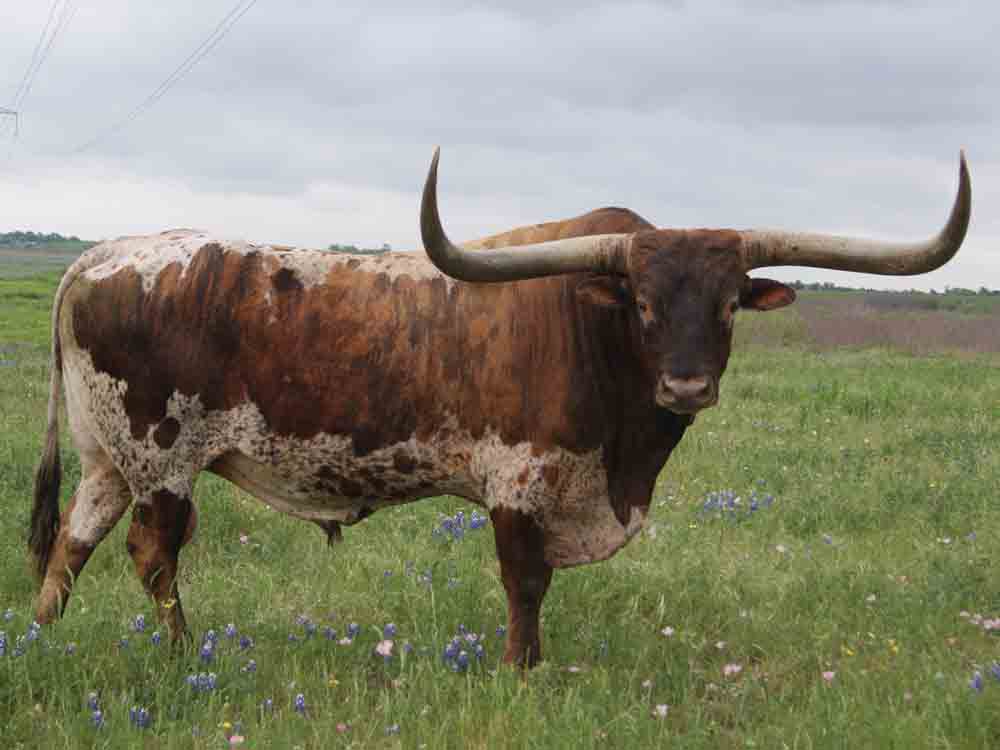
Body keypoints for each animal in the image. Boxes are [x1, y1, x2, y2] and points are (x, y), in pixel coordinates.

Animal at [29, 148, 970, 666]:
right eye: (642, 303)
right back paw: (184, 657)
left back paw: (40, 639)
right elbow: (527, 583)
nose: (687, 386)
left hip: (109, 457)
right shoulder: (521, 480)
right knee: (154, 555)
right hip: (161, 458)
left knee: (71, 543)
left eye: (732, 303)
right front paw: (524, 671)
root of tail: (98, 257)